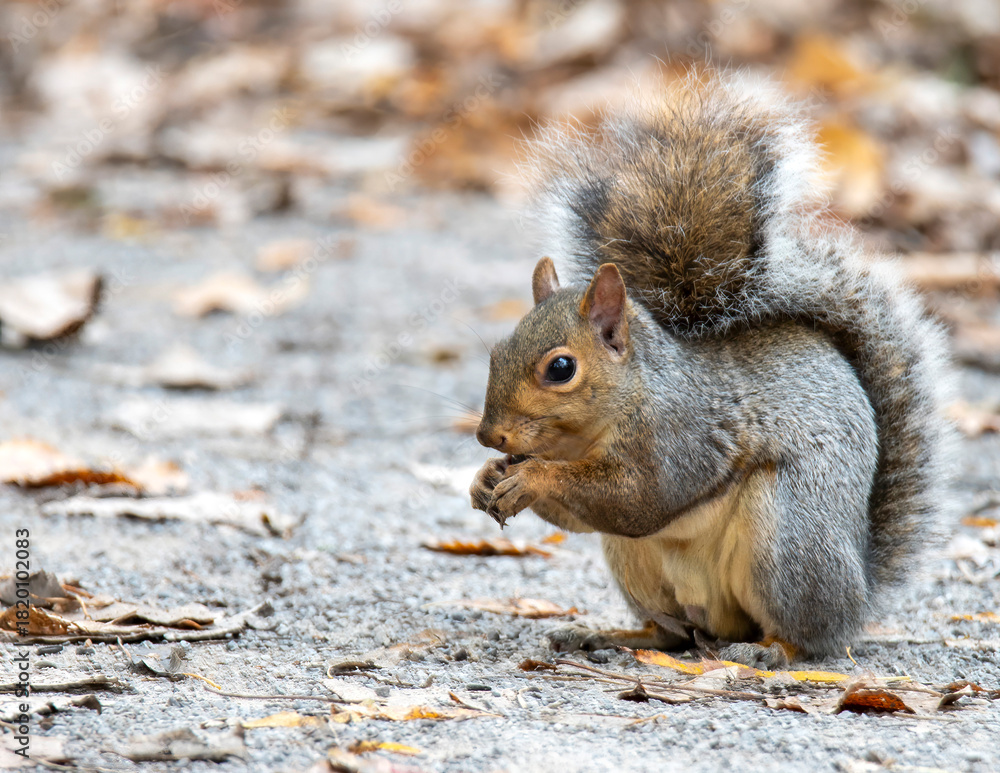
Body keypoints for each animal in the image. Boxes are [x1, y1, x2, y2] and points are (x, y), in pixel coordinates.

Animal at [468, 72, 953, 667]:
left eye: (561, 368)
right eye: (496, 353)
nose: (488, 436)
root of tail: (860, 594)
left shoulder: (682, 434)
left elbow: (642, 499)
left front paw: (534, 476)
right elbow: (589, 516)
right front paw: (485, 478)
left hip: (788, 538)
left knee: (807, 635)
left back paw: (772, 649)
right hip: (638, 568)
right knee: (672, 632)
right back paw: (607, 635)